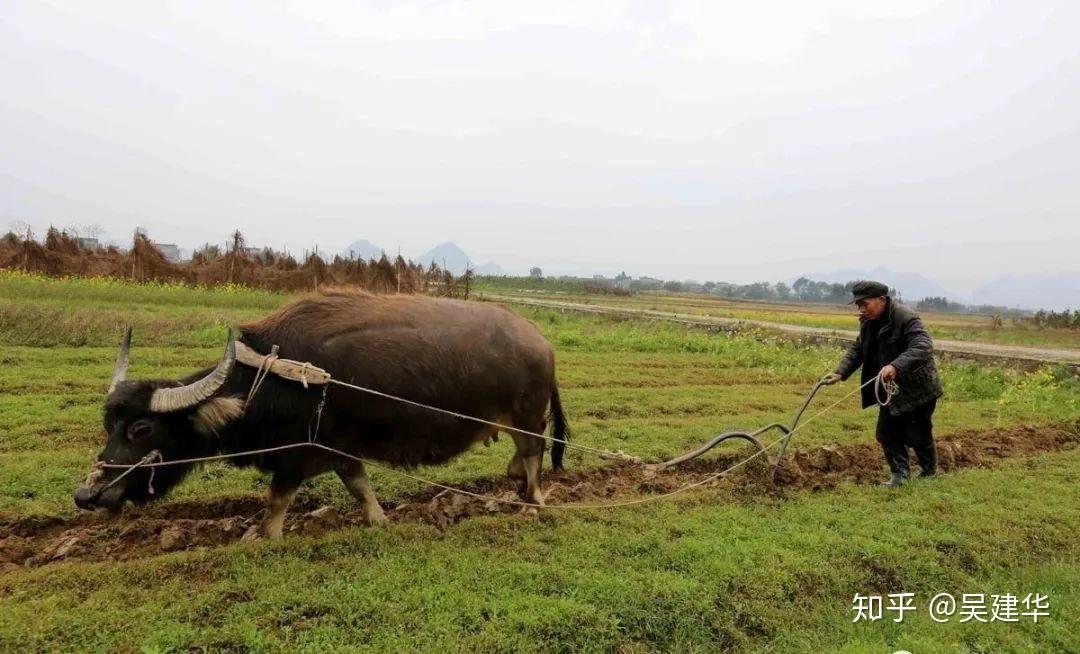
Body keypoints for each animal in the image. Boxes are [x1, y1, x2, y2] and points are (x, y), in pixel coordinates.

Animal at [71, 291, 570, 537]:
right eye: (109, 424)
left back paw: (534, 502)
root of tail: (541, 341)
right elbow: (358, 486)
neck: (272, 379)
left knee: (534, 454)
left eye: (141, 428)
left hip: (528, 417)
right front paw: (378, 521)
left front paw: (264, 536)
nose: (86, 495)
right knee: (523, 456)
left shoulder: (298, 455)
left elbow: (277, 500)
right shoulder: (339, 448)